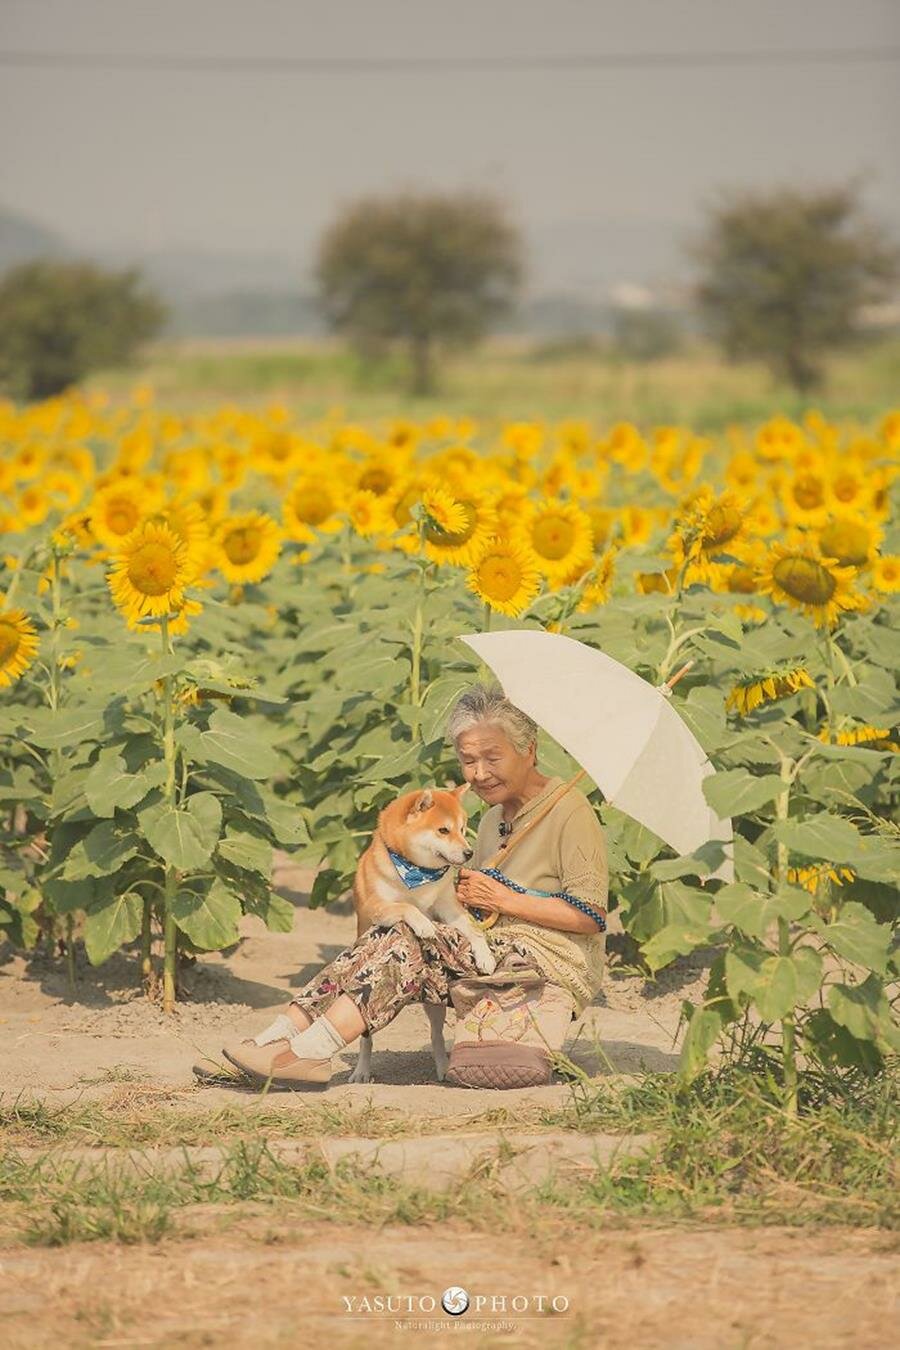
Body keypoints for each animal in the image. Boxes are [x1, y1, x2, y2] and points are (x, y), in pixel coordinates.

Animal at [348, 783, 496, 1085]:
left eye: (463, 828)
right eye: (443, 830)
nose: (468, 853)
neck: (416, 875)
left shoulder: (449, 907)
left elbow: (473, 930)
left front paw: (485, 956)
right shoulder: (376, 906)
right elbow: (406, 907)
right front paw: (423, 924)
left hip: (435, 1006)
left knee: (436, 1036)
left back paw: (443, 1068)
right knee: (367, 1039)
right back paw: (361, 1072)